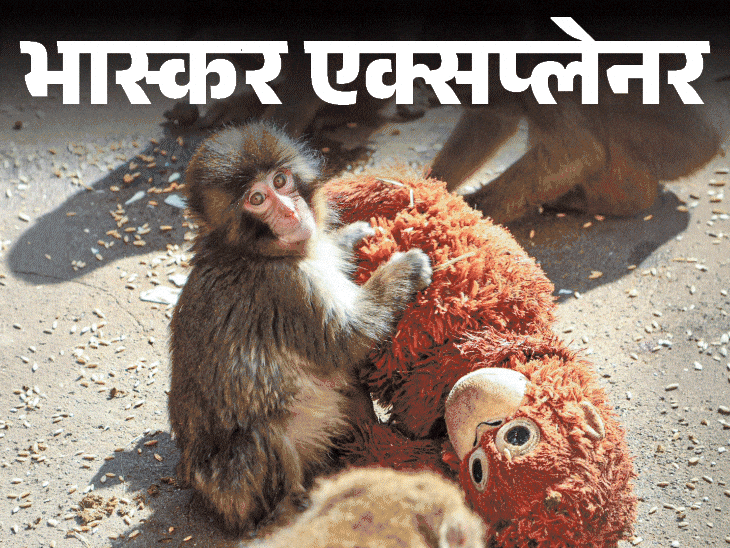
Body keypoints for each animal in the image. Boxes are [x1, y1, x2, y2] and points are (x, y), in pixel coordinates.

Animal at [168, 121, 432, 533]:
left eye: (281, 180)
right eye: (257, 199)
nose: (291, 212)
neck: (254, 251)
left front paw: (349, 238)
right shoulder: (287, 287)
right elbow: (345, 340)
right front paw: (405, 268)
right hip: (235, 489)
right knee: (262, 433)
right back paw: (290, 509)